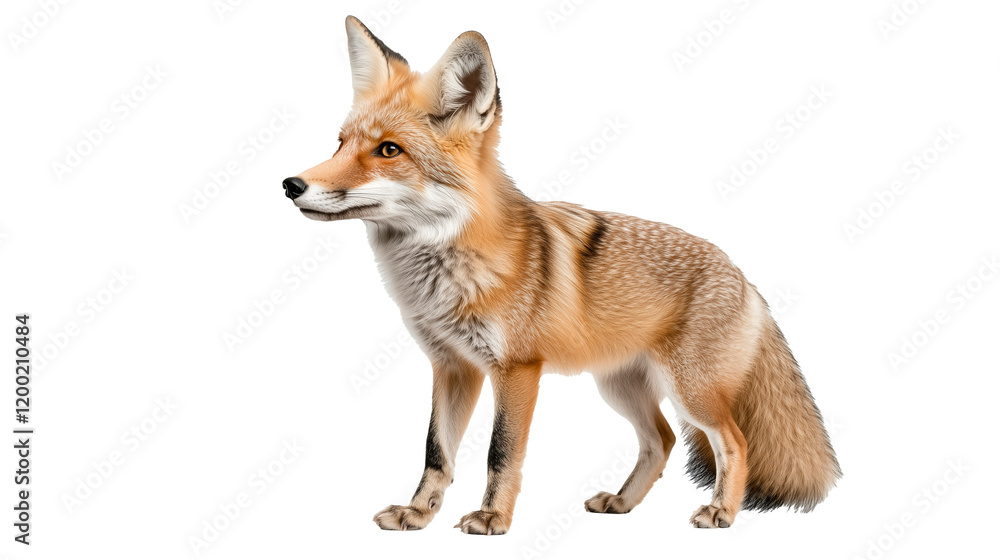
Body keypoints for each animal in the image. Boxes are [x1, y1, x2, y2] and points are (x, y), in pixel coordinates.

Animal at [282, 16, 840, 534]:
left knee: (733, 441)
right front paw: (418, 514)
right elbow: (436, 452)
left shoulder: (517, 369)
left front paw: (492, 518)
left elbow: (500, 452)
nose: (291, 184)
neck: (445, 279)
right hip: (620, 388)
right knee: (661, 441)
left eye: (388, 150)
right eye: (339, 144)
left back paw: (721, 510)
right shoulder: (452, 366)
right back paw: (623, 502)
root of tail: (741, 271)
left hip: (692, 392)